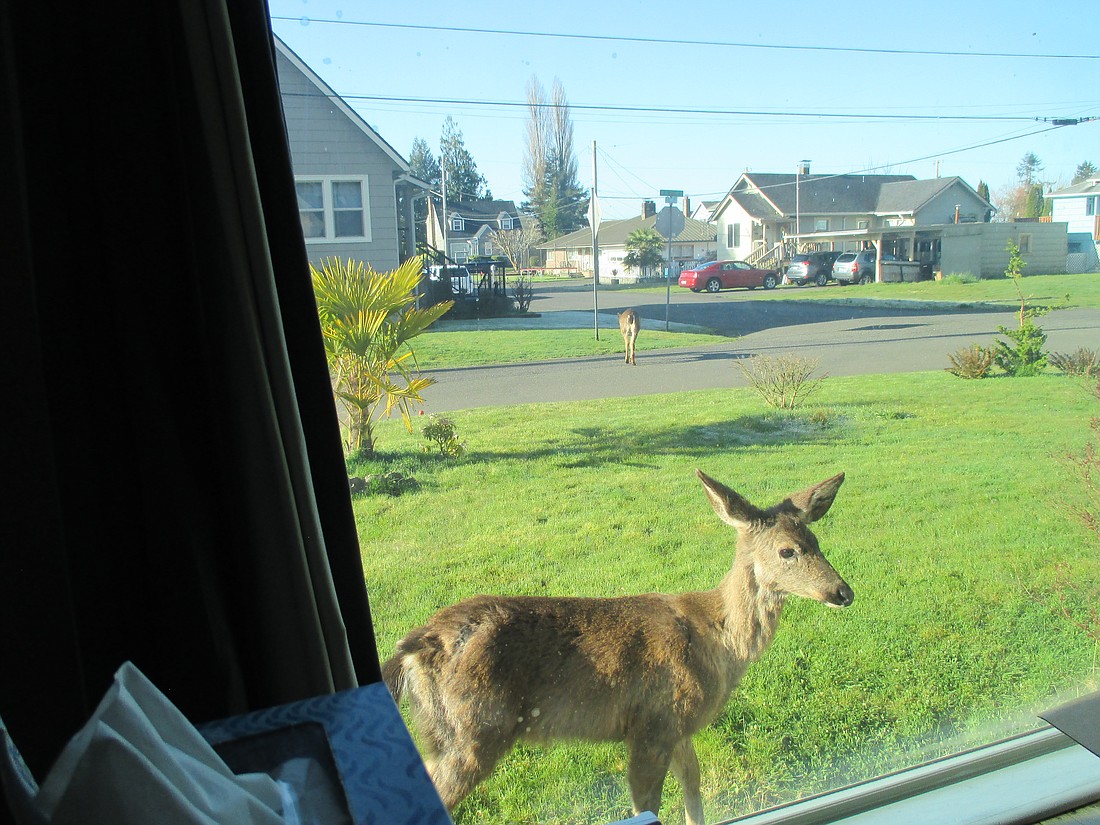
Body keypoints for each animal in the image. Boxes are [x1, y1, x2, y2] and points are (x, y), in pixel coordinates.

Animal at [382, 470, 853, 825]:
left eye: (817, 543)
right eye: (787, 551)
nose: (843, 592)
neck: (716, 641)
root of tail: (409, 650)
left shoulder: (677, 727)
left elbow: (694, 788)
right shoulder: (651, 724)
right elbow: (647, 806)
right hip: (472, 730)